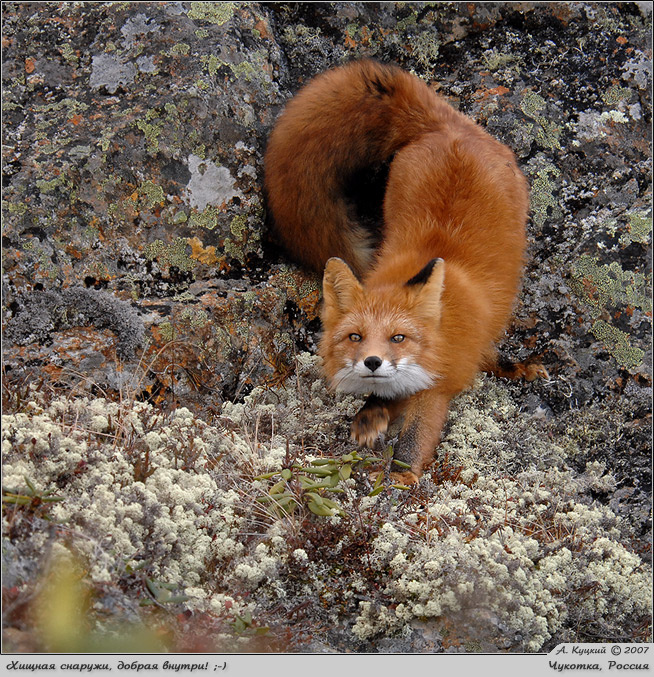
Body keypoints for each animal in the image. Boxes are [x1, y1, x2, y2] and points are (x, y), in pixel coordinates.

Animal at [264, 59, 546, 484]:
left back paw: (510, 365)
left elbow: (415, 435)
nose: (372, 362)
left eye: (398, 337)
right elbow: (385, 396)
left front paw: (400, 478)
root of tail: (449, 127)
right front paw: (371, 416)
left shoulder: (438, 384)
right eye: (355, 337)